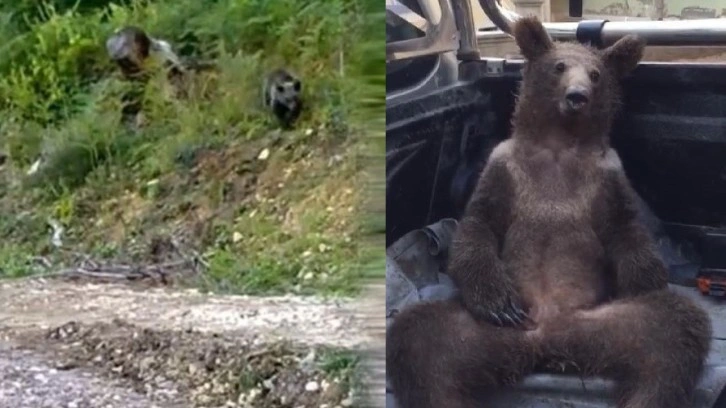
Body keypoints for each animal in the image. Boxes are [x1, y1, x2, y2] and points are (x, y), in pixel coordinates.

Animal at [390, 15, 712, 408]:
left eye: (596, 74)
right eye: (559, 66)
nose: (577, 96)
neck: (559, 145)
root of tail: (546, 343)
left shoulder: (606, 177)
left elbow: (626, 231)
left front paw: (642, 281)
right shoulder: (504, 169)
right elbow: (479, 227)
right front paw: (499, 302)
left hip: (607, 327)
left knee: (671, 336)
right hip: (480, 333)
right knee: (422, 343)